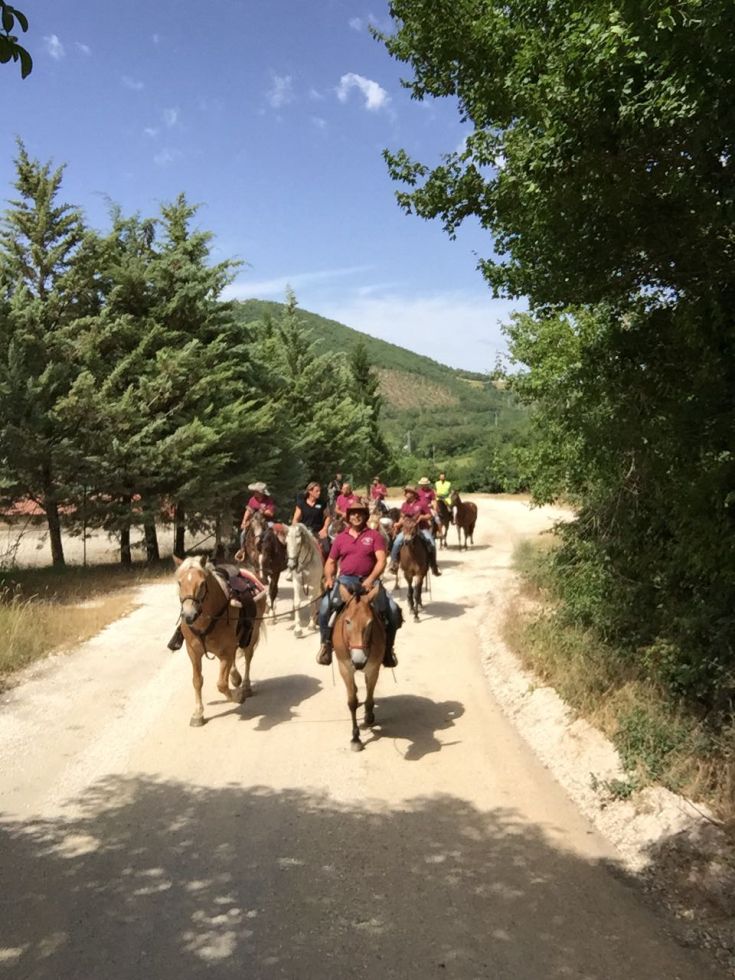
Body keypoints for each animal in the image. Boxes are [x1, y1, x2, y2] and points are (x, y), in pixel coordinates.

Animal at [174, 556, 268, 724]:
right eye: (179, 583)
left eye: (202, 583)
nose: (189, 616)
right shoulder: (193, 653)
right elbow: (197, 681)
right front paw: (198, 714)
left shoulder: (226, 652)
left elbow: (222, 684)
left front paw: (237, 697)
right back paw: (235, 678)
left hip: (253, 634)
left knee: (248, 656)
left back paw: (245, 686)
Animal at [334, 584, 388, 756]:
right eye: (347, 621)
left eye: (370, 623)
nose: (358, 661)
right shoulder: (345, 668)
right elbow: (352, 702)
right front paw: (355, 738)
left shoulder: (373, 668)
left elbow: (370, 698)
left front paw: (369, 716)